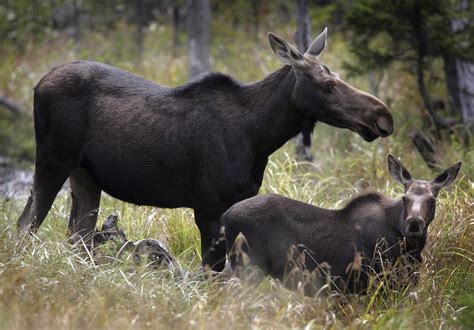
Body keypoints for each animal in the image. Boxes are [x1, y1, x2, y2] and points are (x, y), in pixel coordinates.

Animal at [17, 27, 392, 270]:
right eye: (327, 84)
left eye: (338, 76)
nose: (383, 116)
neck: (259, 137)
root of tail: (36, 84)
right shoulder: (209, 208)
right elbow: (212, 274)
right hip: (52, 160)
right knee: (26, 223)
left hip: (85, 176)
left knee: (77, 237)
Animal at [224, 155, 462, 294]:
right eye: (405, 198)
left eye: (432, 200)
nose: (414, 223)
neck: (412, 249)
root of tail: (225, 217)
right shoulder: (376, 284)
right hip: (247, 267)